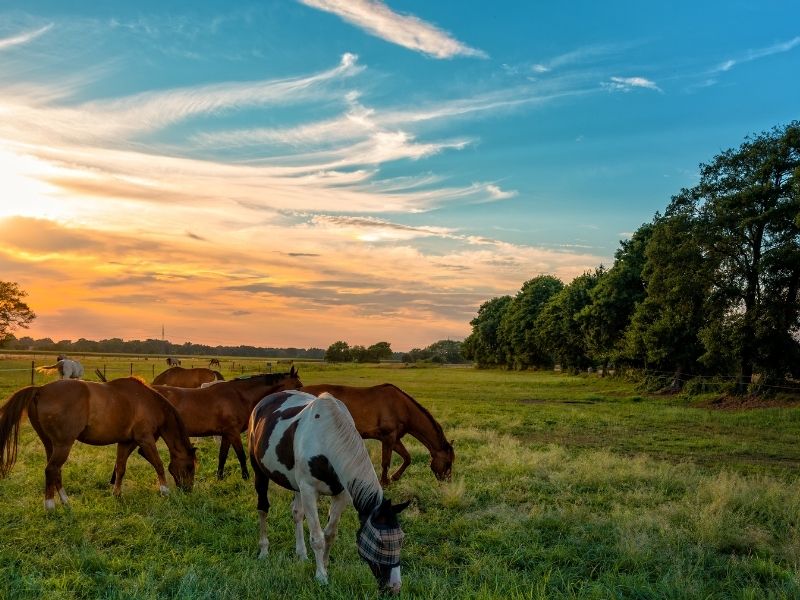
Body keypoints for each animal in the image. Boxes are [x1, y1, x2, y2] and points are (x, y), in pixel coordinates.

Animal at [0, 378, 196, 510]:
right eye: (190, 467)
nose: (188, 490)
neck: (147, 401)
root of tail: (40, 390)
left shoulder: (125, 442)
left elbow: (120, 469)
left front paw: (117, 494)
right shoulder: (145, 439)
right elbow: (158, 464)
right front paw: (165, 491)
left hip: (50, 445)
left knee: (55, 471)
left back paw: (65, 501)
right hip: (63, 445)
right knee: (51, 470)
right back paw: (50, 506)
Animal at [110, 367, 302, 481]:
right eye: (298, 385)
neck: (238, 395)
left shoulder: (226, 434)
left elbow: (222, 456)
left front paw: (219, 477)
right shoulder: (233, 433)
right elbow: (241, 455)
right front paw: (246, 476)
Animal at [248, 390, 409, 593]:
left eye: (401, 539)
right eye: (380, 542)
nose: (394, 587)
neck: (326, 438)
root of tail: (263, 402)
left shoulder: (341, 494)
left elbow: (330, 534)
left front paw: (324, 566)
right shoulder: (309, 491)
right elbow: (317, 537)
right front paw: (321, 577)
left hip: (296, 485)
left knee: (297, 513)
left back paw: (301, 554)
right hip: (260, 471)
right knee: (263, 508)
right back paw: (264, 551)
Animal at [300, 383, 454, 486]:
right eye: (448, 462)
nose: (447, 482)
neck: (402, 407)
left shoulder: (394, 439)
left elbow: (407, 458)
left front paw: (394, 477)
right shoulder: (388, 438)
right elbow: (386, 462)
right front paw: (384, 482)